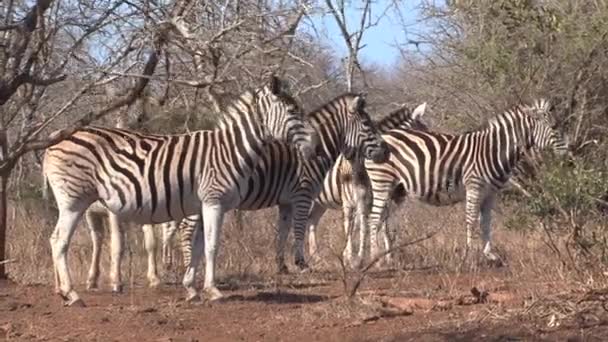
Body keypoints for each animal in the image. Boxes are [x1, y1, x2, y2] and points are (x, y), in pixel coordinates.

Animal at [43, 76, 316, 306]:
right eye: (293, 111)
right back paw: (72, 294)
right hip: (74, 200)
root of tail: (52, 143)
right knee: (59, 241)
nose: (312, 147)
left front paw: (192, 289)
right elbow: (212, 246)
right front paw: (213, 291)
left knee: (55, 239)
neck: (230, 151)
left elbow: (197, 247)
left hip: (76, 202)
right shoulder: (214, 202)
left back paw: (61, 292)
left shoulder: (203, 205)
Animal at [156, 93, 390, 276]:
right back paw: (188, 267)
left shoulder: (286, 201)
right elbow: (298, 229)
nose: (387, 152)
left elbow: (283, 231)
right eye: (367, 124)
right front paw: (302, 264)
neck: (314, 151)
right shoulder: (302, 195)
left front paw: (282, 266)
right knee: (186, 230)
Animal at [306, 101, 430, 268]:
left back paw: (316, 258)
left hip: (320, 203)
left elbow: (382, 226)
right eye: (424, 135)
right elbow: (362, 226)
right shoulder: (357, 198)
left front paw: (385, 257)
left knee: (312, 221)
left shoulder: (381, 198)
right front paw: (356, 258)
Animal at [356, 98, 568, 264]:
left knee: (384, 220)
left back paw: (387, 258)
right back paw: (375, 257)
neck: (493, 151)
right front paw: (469, 255)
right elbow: (471, 220)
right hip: (382, 183)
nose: (568, 151)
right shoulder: (474, 187)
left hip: (396, 189)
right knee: (374, 218)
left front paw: (489, 255)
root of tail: (382, 136)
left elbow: (486, 223)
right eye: (554, 128)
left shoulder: (490, 193)